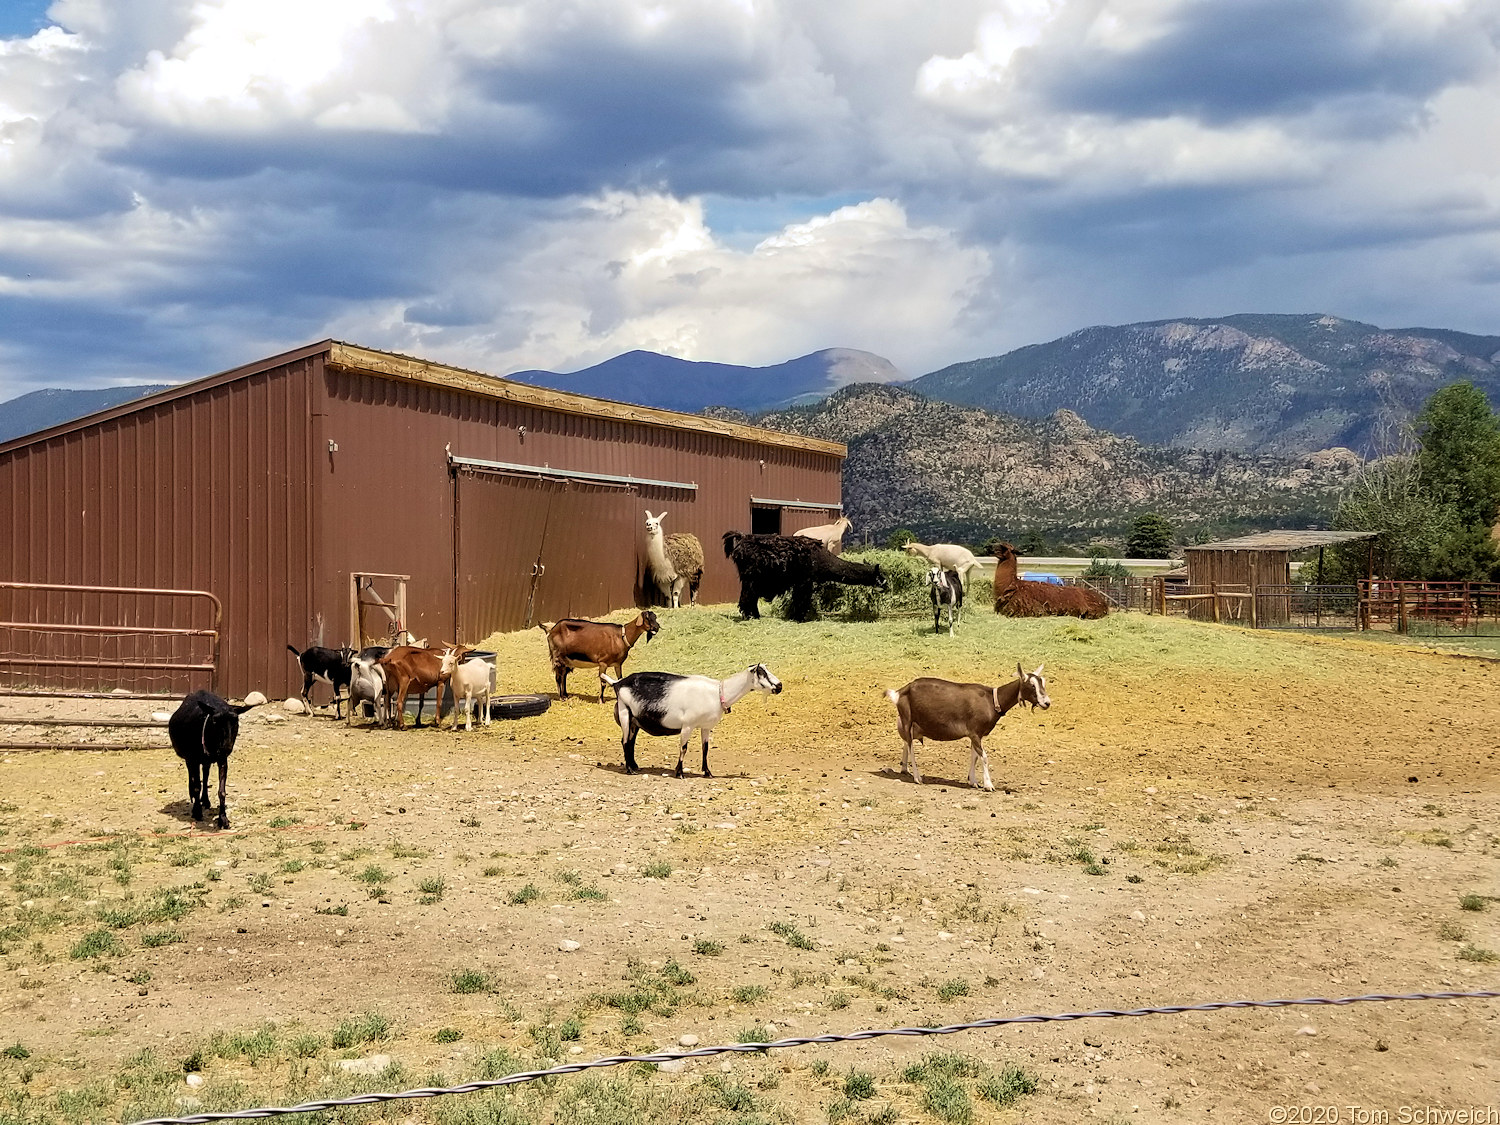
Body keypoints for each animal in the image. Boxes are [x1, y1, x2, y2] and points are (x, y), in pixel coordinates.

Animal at [168, 693, 259, 834]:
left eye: (236, 721)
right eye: (215, 721)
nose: (227, 747)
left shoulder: (222, 760)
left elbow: (221, 791)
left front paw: (223, 819)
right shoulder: (193, 758)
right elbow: (196, 786)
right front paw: (197, 811)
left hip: (206, 760)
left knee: (205, 776)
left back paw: (205, 800)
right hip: (190, 758)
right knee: (192, 776)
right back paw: (194, 798)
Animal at [600, 666, 786, 780]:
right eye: (761, 673)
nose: (779, 686)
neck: (718, 693)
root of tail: (618, 683)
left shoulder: (706, 727)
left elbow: (705, 749)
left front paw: (707, 772)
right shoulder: (687, 725)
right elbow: (684, 748)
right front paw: (679, 773)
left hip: (634, 721)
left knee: (631, 741)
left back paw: (635, 766)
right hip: (625, 713)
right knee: (625, 741)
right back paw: (630, 770)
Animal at [720, 531, 882, 621]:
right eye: (880, 576)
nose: (885, 583)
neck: (821, 560)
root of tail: (741, 539)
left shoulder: (802, 582)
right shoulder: (804, 580)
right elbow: (801, 600)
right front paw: (799, 618)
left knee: (749, 598)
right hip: (752, 577)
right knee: (747, 598)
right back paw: (751, 616)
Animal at [882, 666, 1050, 798]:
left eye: (1043, 682)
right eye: (1031, 685)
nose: (1047, 703)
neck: (991, 701)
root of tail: (901, 691)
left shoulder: (976, 734)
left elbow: (974, 756)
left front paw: (973, 781)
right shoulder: (974, 732)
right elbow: (984, 757)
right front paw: (988, 785)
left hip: (909, 723)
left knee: (906, 742)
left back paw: (904, 769)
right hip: (907, 718)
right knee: (910, 746)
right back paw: (917, 777)